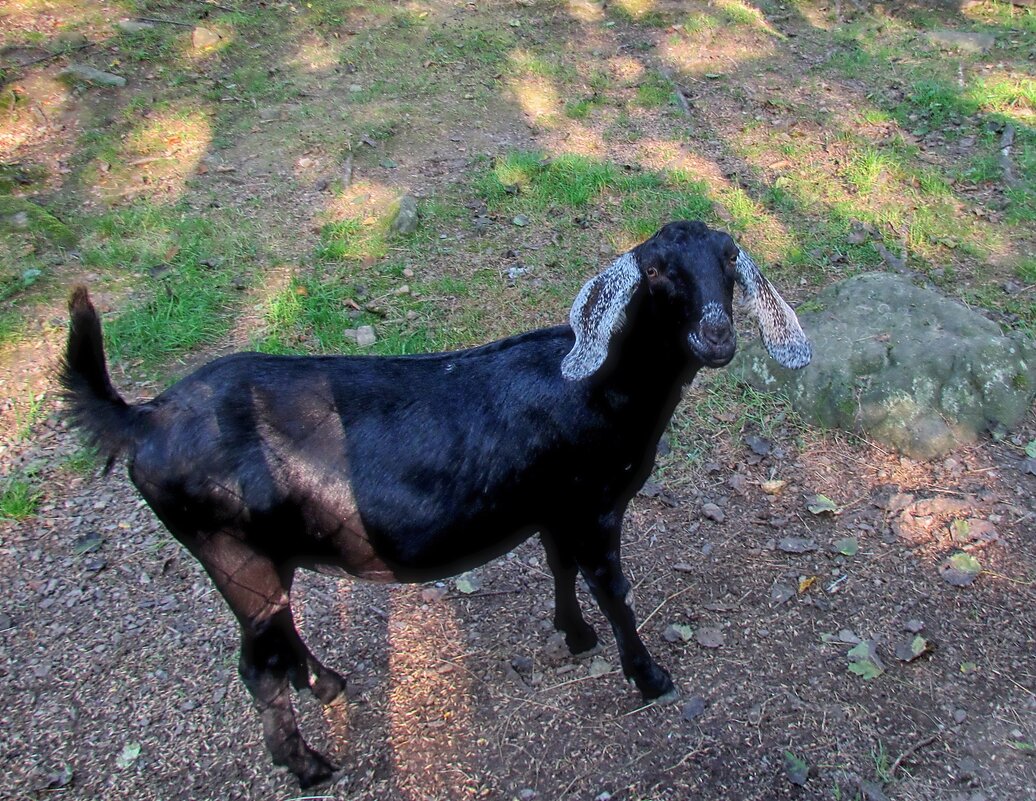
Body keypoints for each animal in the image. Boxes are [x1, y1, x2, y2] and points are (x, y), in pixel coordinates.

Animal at [60, 220, 808, 787]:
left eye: (728, 262)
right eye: (657, 273)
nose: (717, 337)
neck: (602, 388)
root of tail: (144, 419)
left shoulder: (555, 507)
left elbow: (561, 569)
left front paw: (574, 637)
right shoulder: (594, 505)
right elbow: (614, 589)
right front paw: (650, 675)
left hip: (265, 555)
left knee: (279, 634)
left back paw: (327, 684)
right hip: (231, 548)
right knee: (256, 665)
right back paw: (309, 766)